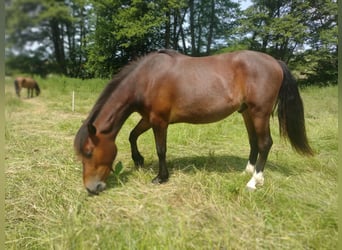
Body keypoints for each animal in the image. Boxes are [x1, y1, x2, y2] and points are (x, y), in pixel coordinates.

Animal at [74, 49, 312, 195]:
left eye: (89, 152)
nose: (91, 188)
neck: (147, 78)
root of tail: (275, 61)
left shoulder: (159, 120)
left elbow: (161, 149)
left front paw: (161, 177)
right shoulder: (148, 118)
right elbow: (132, 135)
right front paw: (139, 160)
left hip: (259, 112)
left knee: (264, 143)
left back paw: (254, 181)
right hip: (247, 113)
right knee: (254, 141)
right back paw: (248, 171)